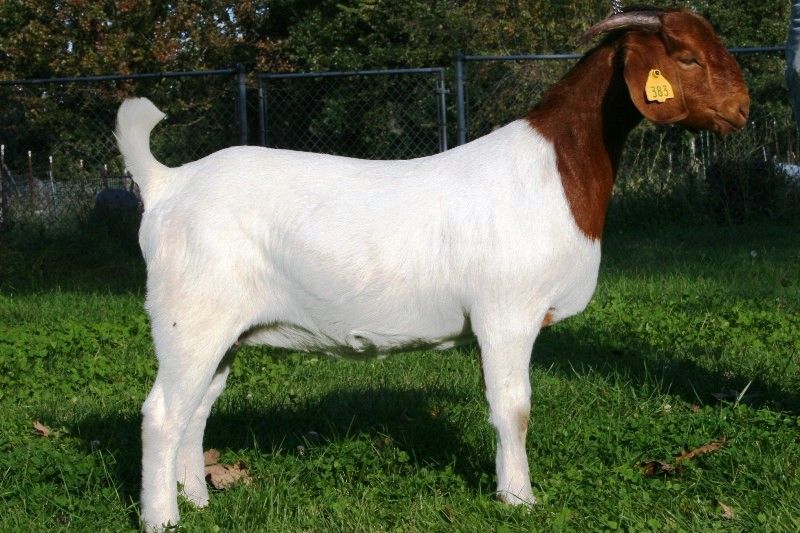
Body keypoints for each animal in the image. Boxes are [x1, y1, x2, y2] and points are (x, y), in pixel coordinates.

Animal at [116, 8, 749, 531]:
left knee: (196, 410)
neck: (554, 173)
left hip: (222, 331)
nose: (741, 109)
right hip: (189, 319)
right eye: (685, 56)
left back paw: (199, 500)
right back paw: (162, 519)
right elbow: (513, 408)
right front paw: (519, 499)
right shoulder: (506, 313)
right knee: (162, 414)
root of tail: (167, 183)